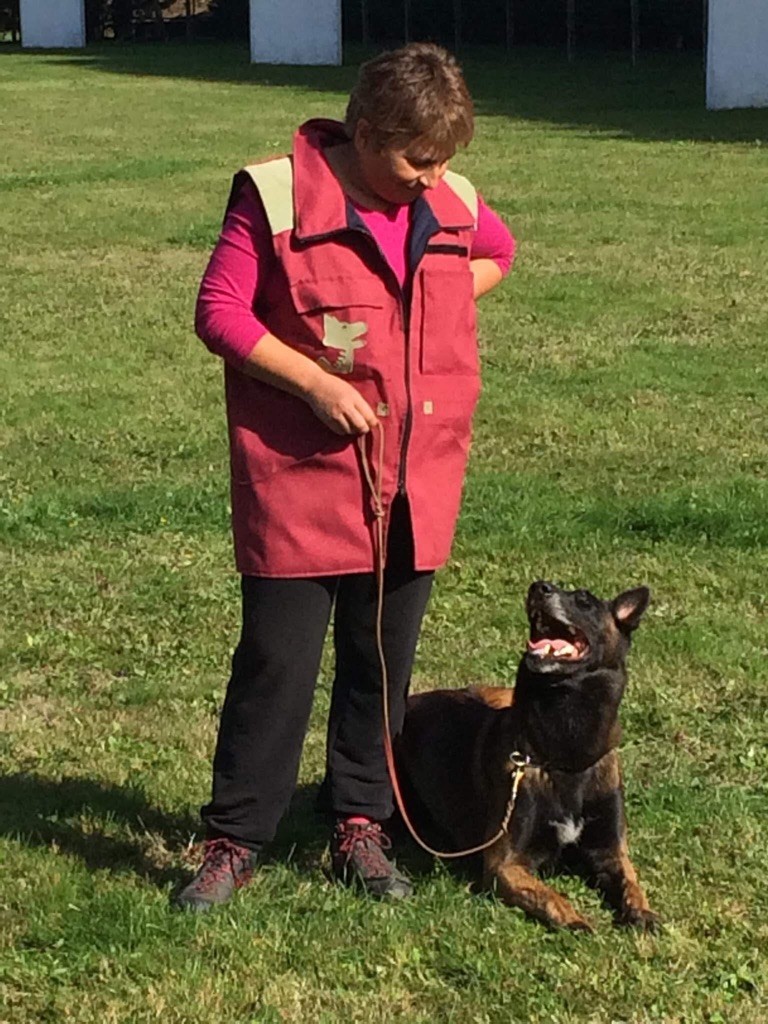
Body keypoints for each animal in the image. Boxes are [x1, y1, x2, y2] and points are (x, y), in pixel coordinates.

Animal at [397, 581, 663, 933]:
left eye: (584, 600)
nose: (540, 587)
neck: (562, 757)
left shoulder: (611, 852)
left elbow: (631, 882)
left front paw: (641, 911)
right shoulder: (505, 865)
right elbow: (549, 895)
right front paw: (575, 920)